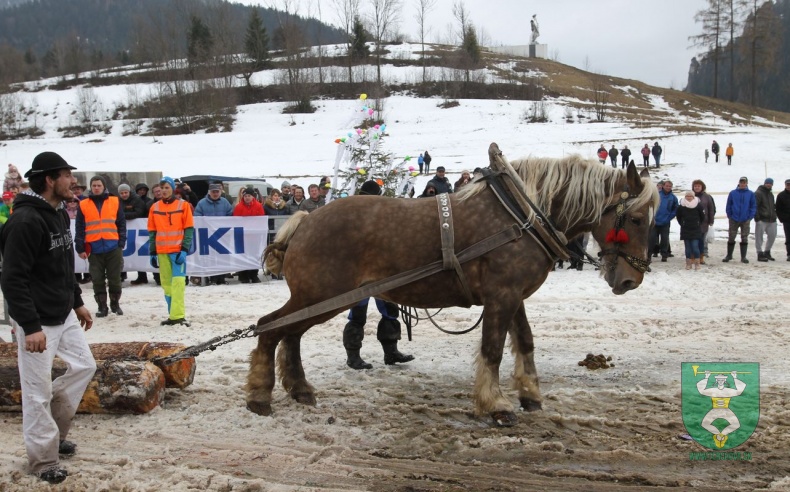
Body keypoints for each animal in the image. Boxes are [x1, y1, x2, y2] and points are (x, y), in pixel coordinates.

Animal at [251, 145, 660, 426]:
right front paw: (496, 405)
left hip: (318, 298)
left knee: (289, 334)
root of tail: (304, 221)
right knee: (269, 329)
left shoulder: (514, 296)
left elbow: (525, 342)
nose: (631, 279)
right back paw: (259, 395)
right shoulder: (501, 296)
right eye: (637, 219)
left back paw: (299, 389)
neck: (522, 215)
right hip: (322, 296)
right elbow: (493, 349)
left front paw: (530, 394)